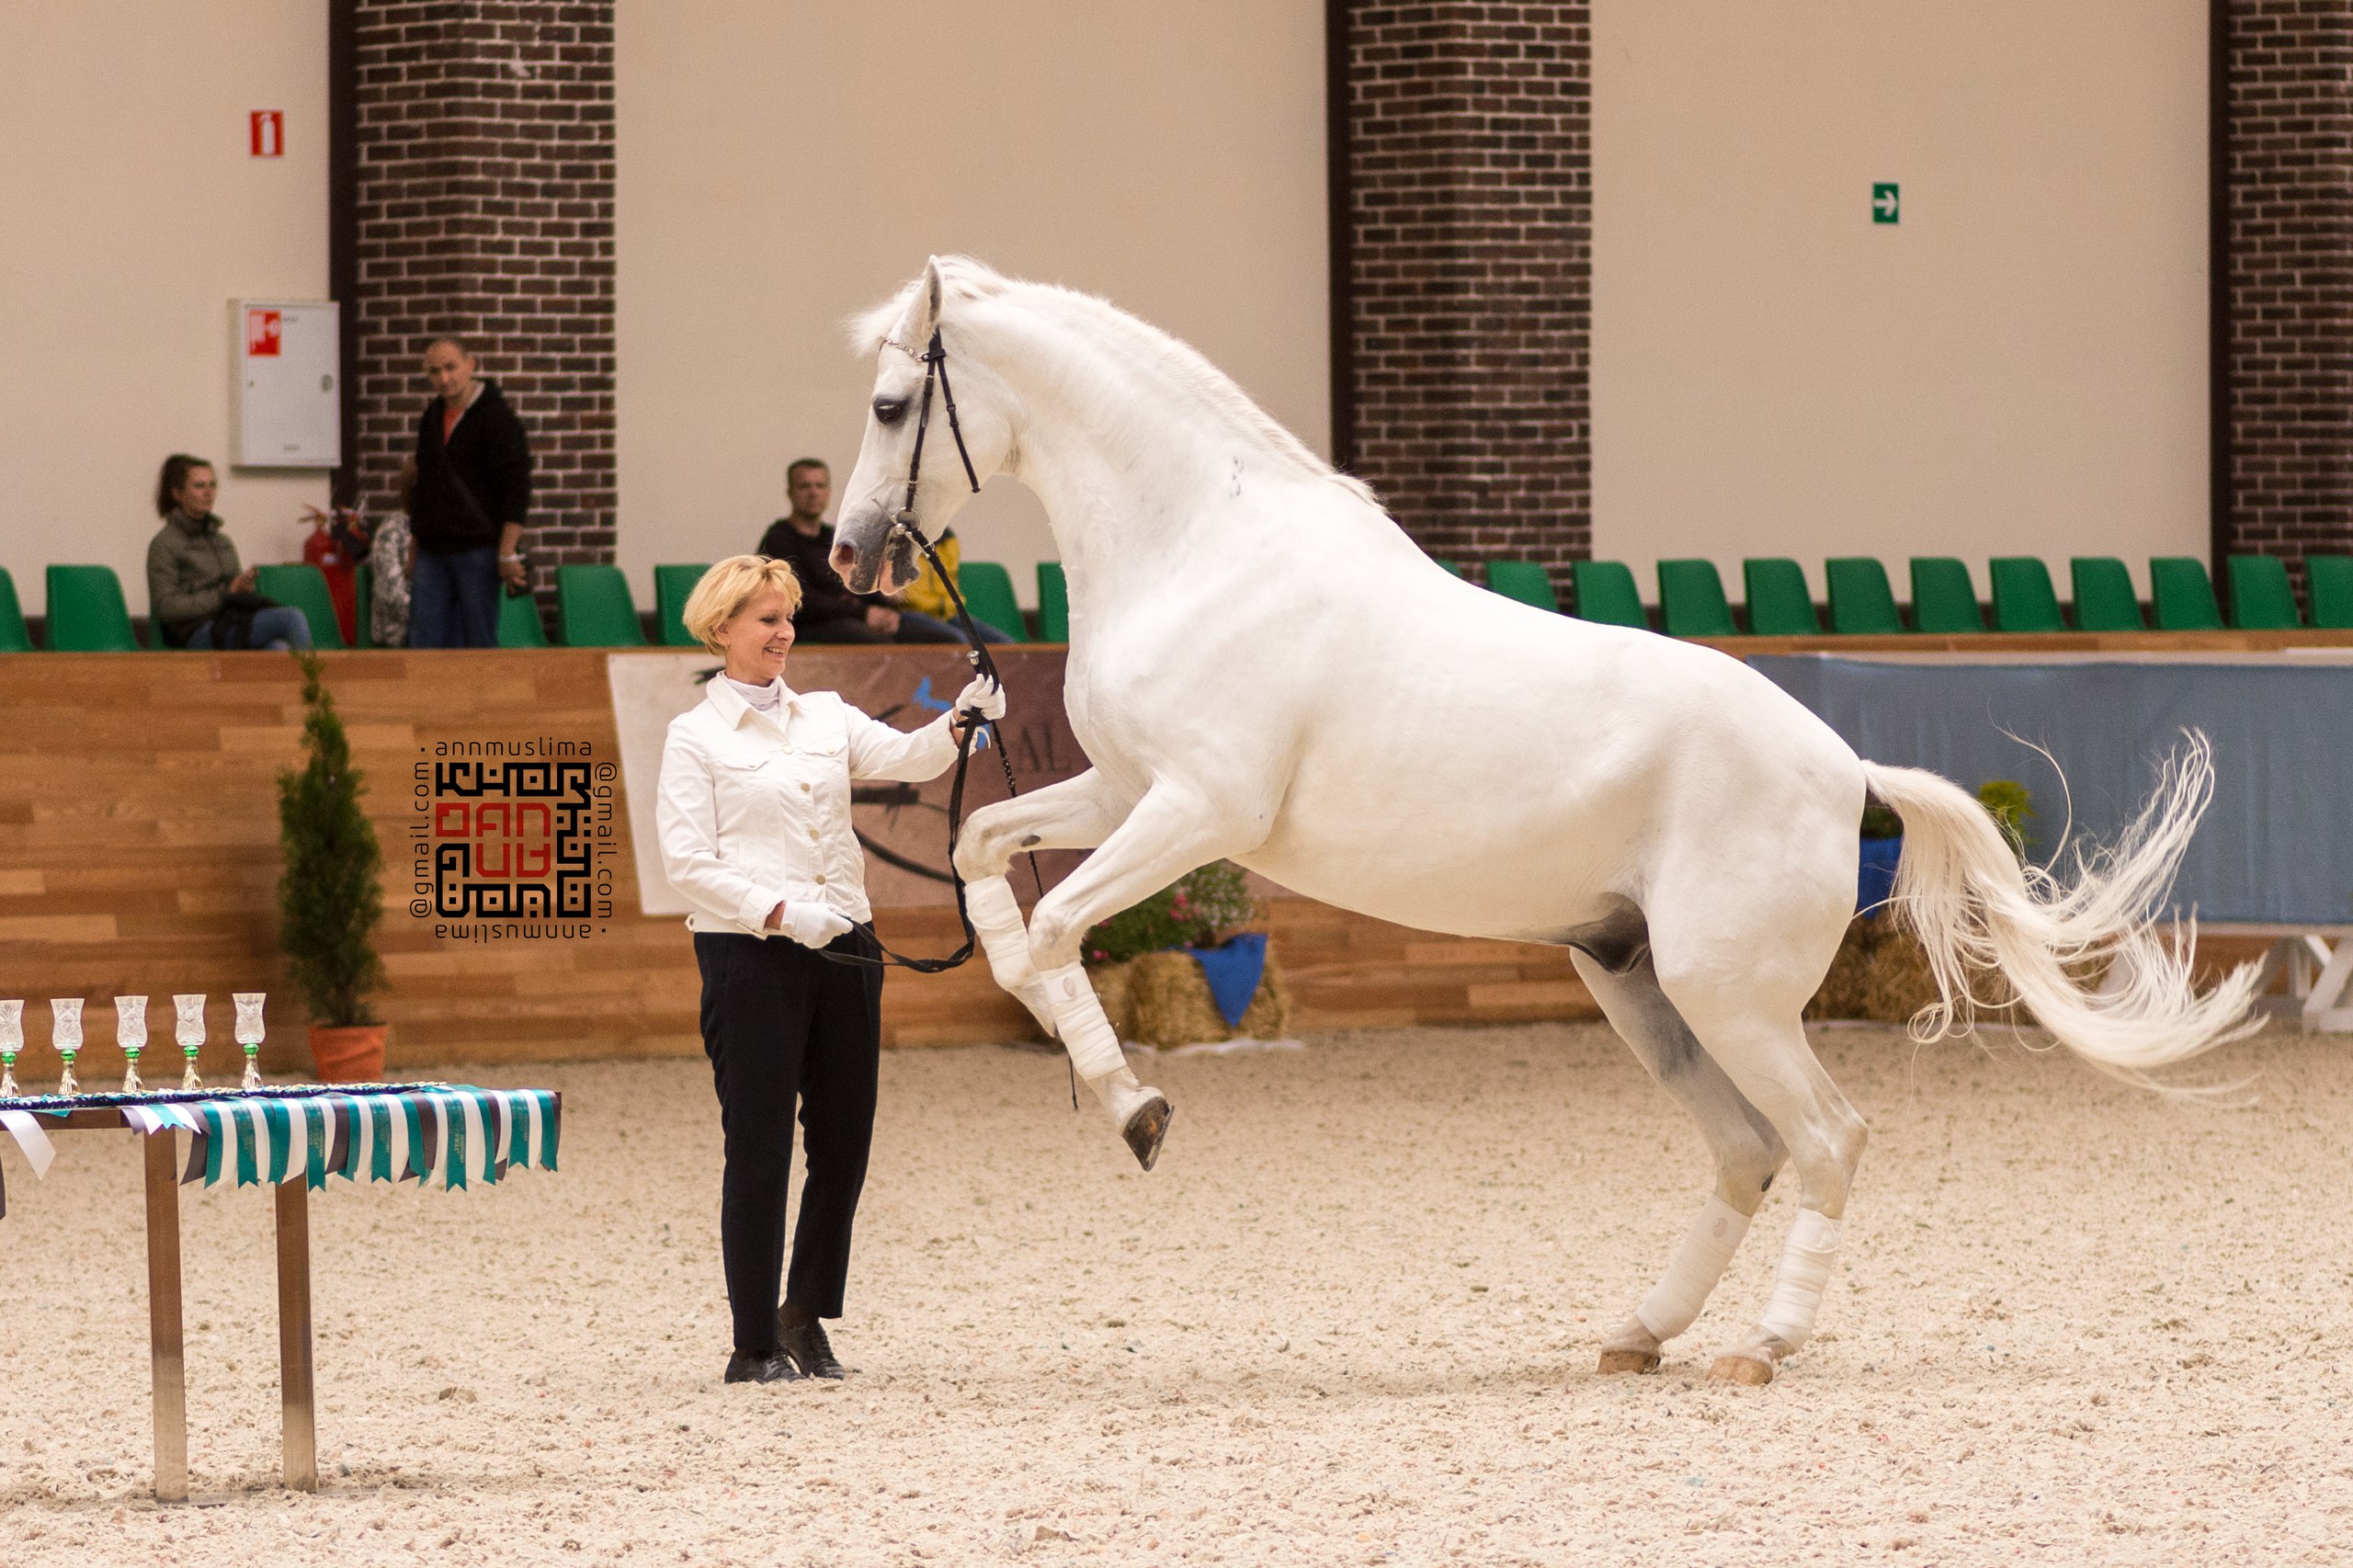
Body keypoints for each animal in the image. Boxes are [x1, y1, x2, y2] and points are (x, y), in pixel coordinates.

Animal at [828, 256, 2258, 1384]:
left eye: (893, 406)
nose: (845, 553)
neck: (1204, 552)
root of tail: (1844, 764)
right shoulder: (1125, 790)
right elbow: (985, 860)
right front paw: (1091, 1069)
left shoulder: (1197, 809)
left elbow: (1057, 925)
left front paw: (1136, 1109)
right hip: (1638, 984)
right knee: (1746, 1151)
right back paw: (1639, 1332)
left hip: (1728, 993)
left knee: (1824, 1137)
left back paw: (1761, 1346)